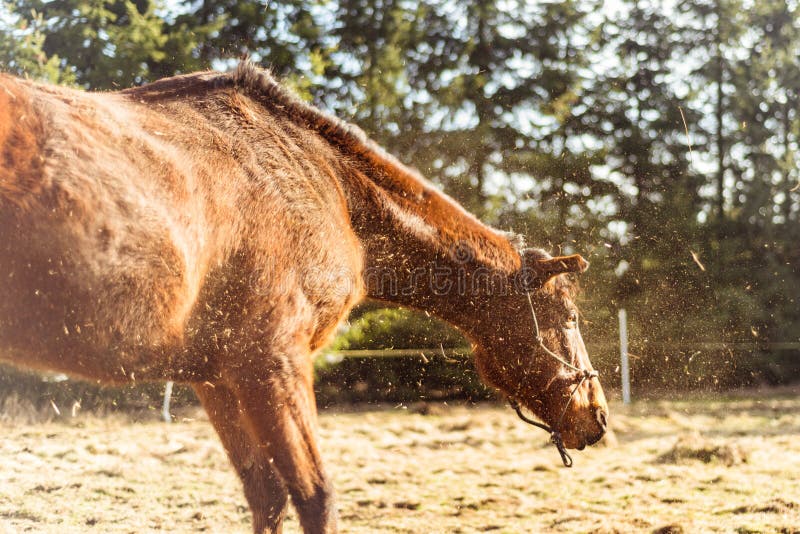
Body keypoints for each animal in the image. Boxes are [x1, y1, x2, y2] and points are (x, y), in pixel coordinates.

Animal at [0, 62, 608, 533]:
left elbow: (266, 495)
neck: (327, 186)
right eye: (569, 315)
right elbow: (316, 498)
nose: (598, 417)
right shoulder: (272, 362)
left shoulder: (218, 379)